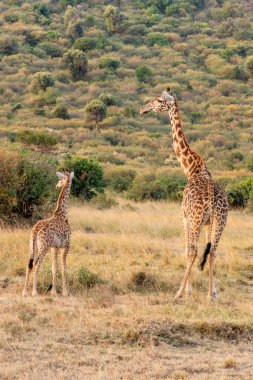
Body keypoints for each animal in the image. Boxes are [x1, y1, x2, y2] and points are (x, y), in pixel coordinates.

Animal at [139, 87, 228, 302]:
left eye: (159, 100)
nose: (143, 109)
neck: (191, 168)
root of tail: (212, 198)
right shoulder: (207, 222)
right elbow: (206, 250)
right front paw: (213, 291)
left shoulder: (184, 217)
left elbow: (187, 250)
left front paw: (188, 291)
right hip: (220, 221)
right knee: (212, 251)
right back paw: (209, 296)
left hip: (195, 220)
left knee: (194, 251)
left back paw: (178, 293)